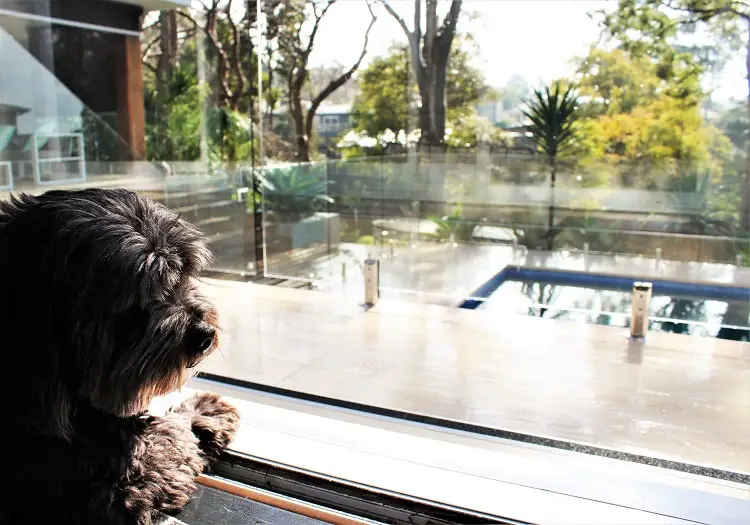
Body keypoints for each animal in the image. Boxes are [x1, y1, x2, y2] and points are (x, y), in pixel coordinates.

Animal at [0, 188, 239, 524]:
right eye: (140, 296)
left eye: (182, 274)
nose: (205, 334)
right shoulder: (121, 486)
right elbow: (172, 431)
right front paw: (204, 410)